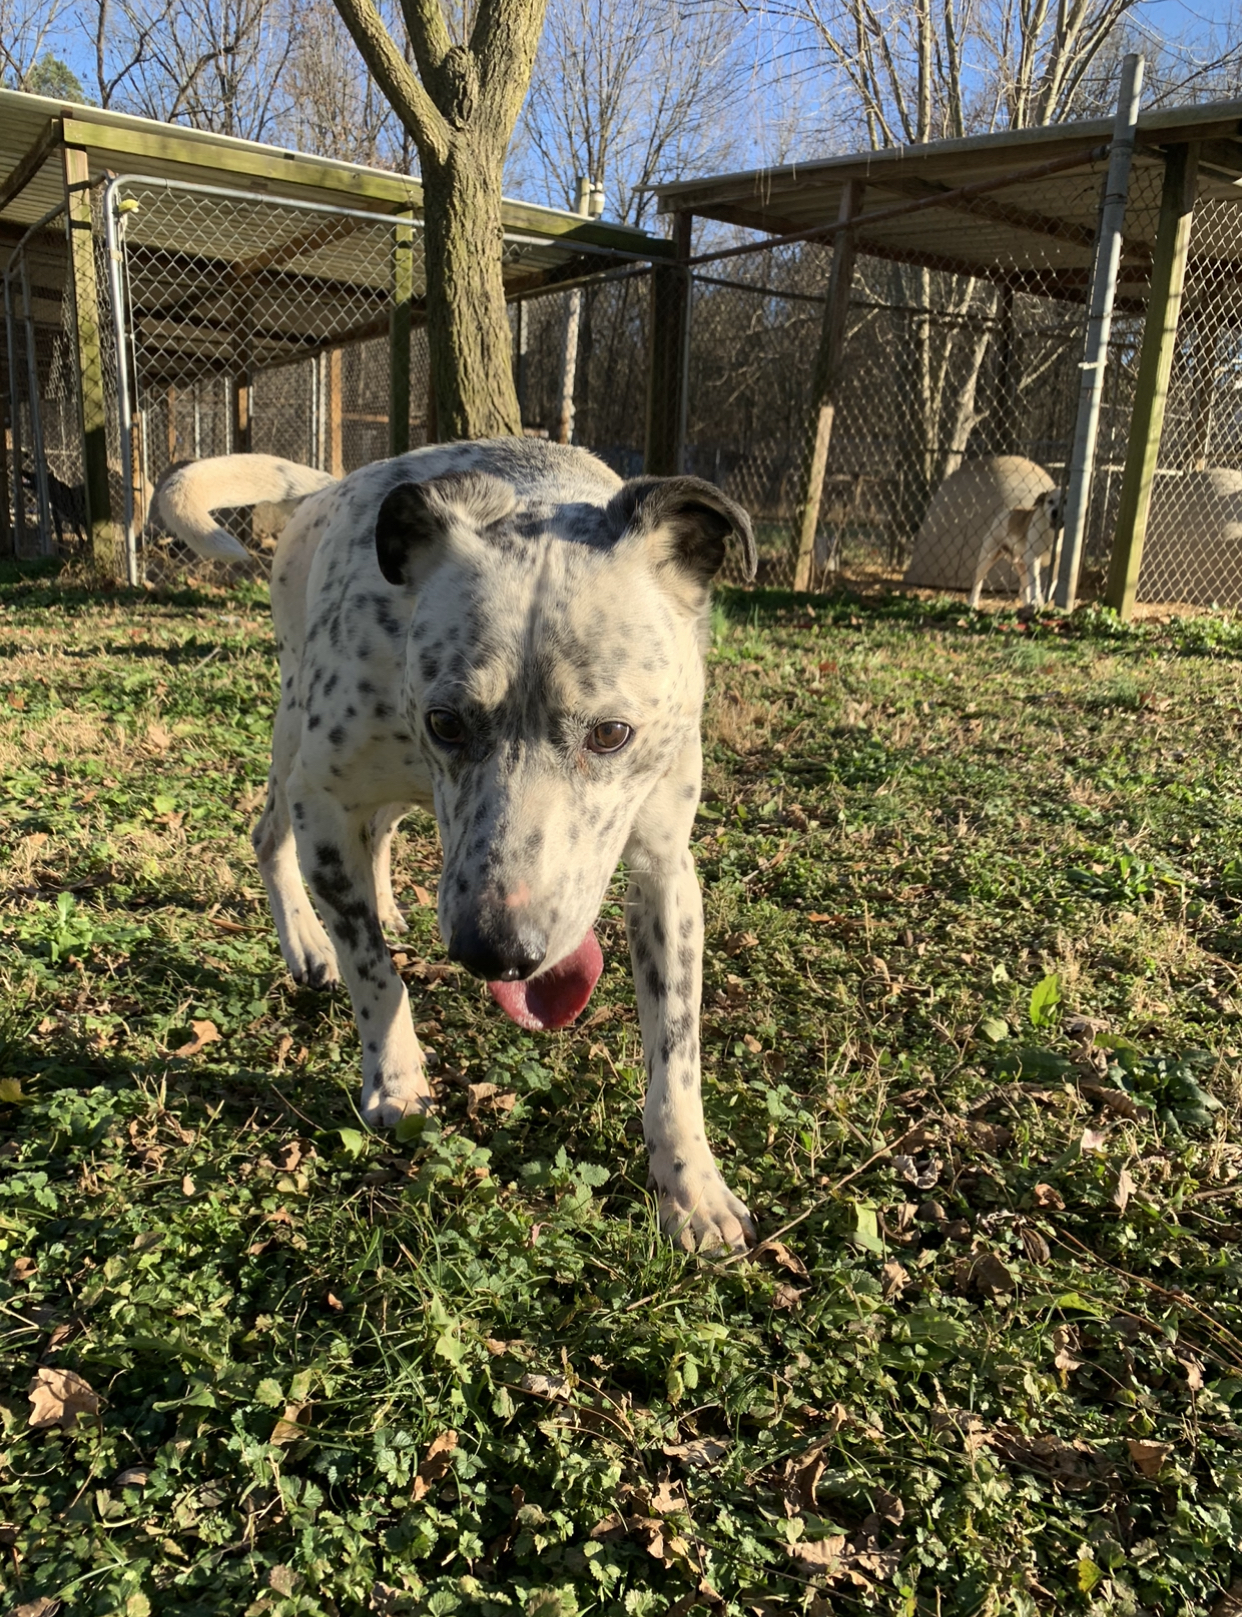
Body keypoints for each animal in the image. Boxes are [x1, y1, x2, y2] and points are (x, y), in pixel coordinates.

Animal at [156, 439, 756, 1248]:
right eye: (445, 722)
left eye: (611, 733)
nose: (495, 950)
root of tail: (324, 489)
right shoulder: (328, 803)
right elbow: (372, 971)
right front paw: (396, 1077)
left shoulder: (665, 867)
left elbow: (676, 1045)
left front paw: (692, 1187)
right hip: (294, 740)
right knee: (271, 836)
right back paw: (307, 944)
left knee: (381, 832)